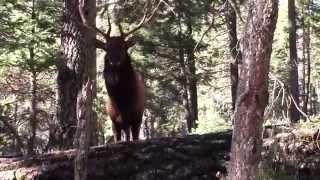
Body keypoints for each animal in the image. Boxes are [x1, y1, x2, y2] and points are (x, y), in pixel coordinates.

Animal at [78, 0, 162, 142]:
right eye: (106, 48)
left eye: (123, 47)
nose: (114, 61)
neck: (122, 105)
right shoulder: (114, 122)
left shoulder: (136, 119)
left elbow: (134, 138)